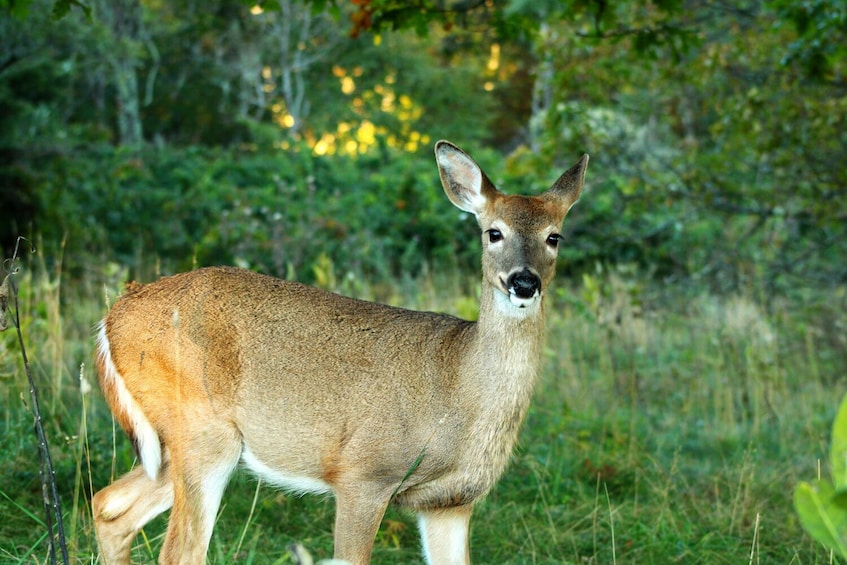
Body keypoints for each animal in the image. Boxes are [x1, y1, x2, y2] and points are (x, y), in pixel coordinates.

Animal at [89, 139, 588, 560]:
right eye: (493, 232)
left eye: (554, 236)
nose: (524, 282)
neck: (460, 388)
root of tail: (113, 318)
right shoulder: (363, 475)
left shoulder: (450, 502)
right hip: (201, 431)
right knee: (178, 550)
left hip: (171, 446)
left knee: (108, 505)